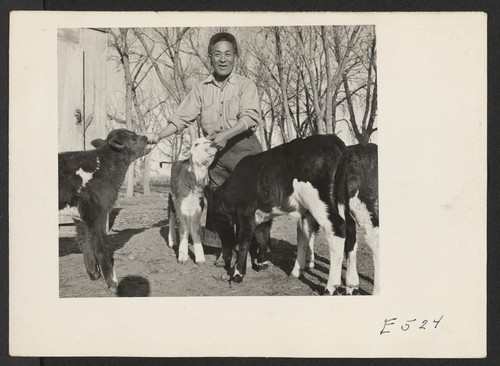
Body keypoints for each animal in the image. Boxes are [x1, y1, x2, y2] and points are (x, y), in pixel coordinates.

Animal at [58, 129, 148, 288]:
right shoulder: (93, 211)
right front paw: (112, 281)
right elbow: (100, 245)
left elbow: (86, 242)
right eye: (133, 137)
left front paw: (94, 274)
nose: (147, 138)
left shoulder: (79, 216)